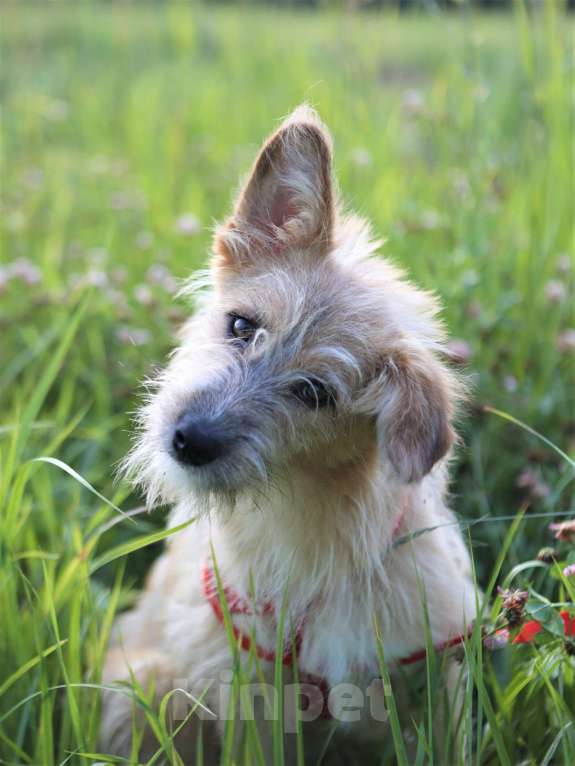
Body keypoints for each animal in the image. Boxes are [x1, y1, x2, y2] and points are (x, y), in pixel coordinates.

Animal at [101, 105, 480, 764]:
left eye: (314, 393)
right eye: (240, 325)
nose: (188, 440)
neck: (317, 531)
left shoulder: (438, 669)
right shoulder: (243, 690)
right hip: (142, 682)